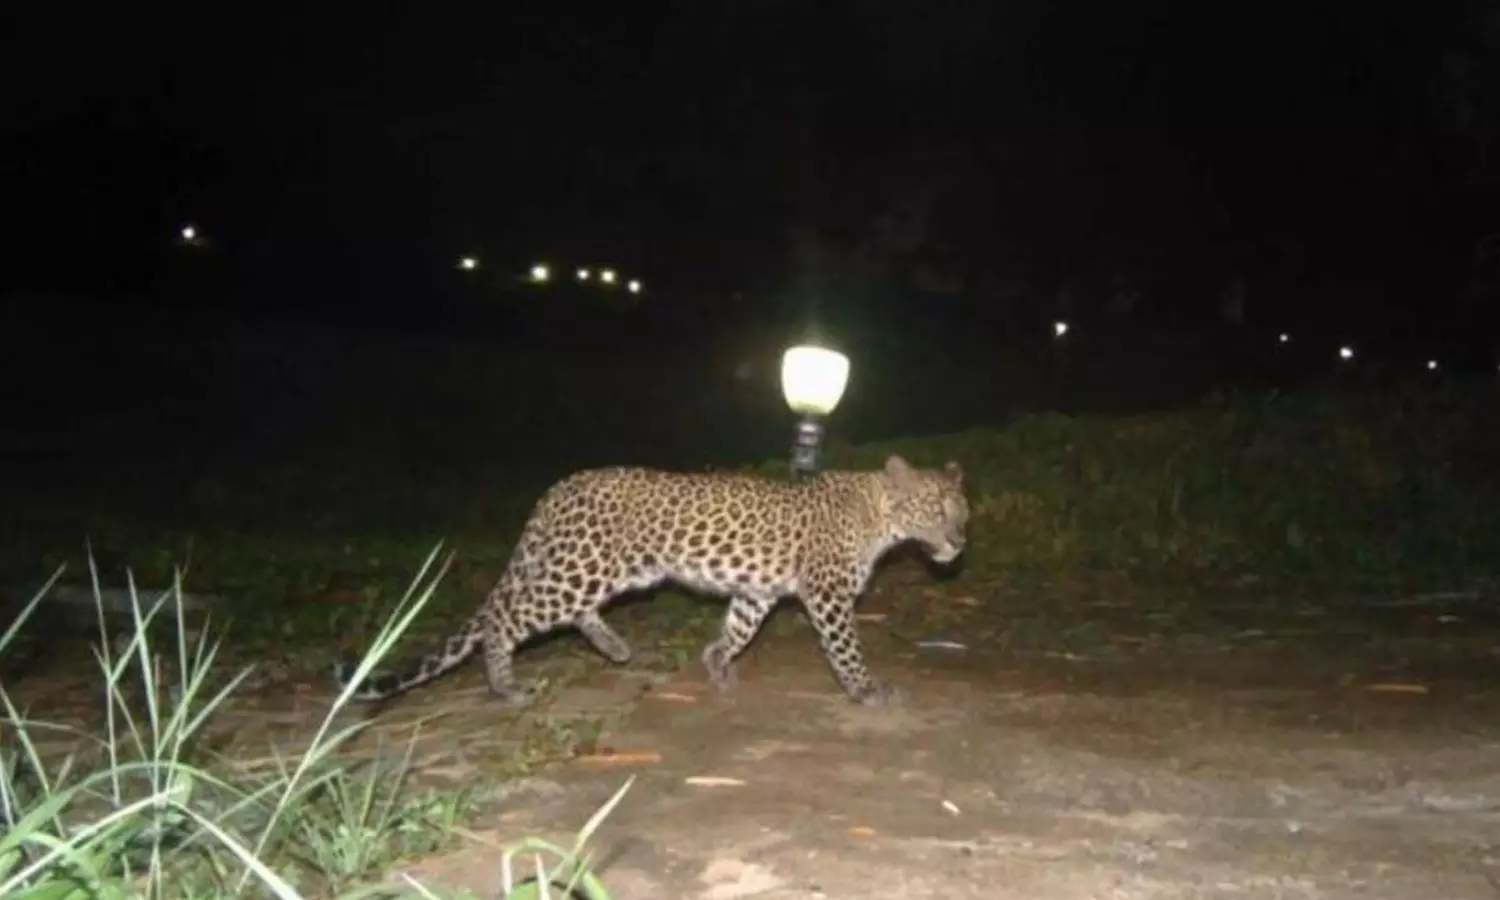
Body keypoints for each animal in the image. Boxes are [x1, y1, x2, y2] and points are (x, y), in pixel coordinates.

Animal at [335, 453, 969, 707]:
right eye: (938, 510)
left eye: (964, 512)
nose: (961, 541)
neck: (879, 514)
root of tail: (556, 490)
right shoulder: (829, 595)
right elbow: (844, 649)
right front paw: (866, 690)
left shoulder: (756, 591)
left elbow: (738, 628)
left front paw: (717, 665)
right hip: (581, 568)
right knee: (504, 617)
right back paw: (505, 686)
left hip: (599, 571)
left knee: (557, 611)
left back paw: (615, 648)